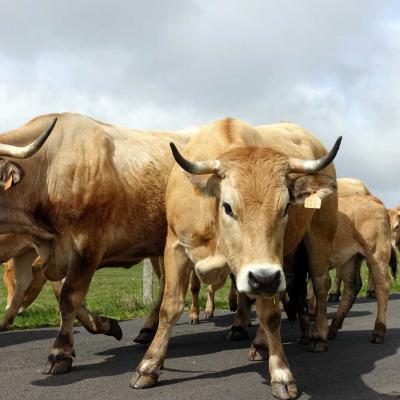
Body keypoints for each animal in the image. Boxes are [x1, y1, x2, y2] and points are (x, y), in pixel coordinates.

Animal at [0, 113, 191, 376]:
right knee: (164, 284)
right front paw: (105, 324)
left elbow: (69, 297)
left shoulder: (88, 245)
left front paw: (59, 353)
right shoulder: (55, 252)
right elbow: (69, 296)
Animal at [132, 117, 340, 398]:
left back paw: (315, 337)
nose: (264, 279)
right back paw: (261, 343)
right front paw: (149, 365)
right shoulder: (175, 247)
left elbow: (270, 314)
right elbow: (170, 306)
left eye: (286, 207)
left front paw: (281, 373)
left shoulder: (271, 265)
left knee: (318, 285)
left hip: (317, 237)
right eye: (228, 207)